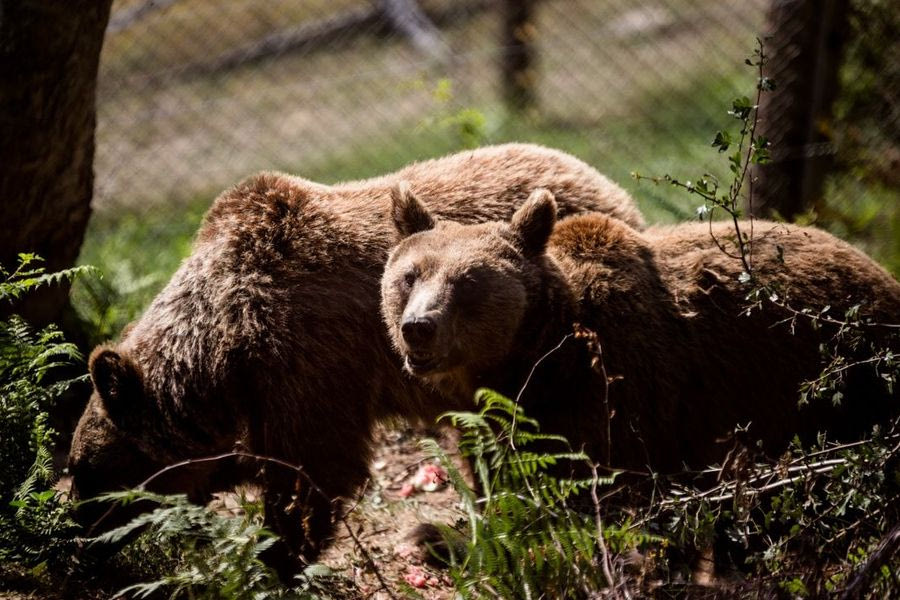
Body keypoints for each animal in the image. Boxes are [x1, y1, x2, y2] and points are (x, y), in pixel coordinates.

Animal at [67, 143, 644, 580]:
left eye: (85, 468)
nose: (78, 541)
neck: (228, 341)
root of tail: (601, 180)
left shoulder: (307, 359)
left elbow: (314, 471)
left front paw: (273, 558)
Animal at [382, 188, 900, 474]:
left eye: (468, 282)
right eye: (410, 275)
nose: (418, 328)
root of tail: (879, 271)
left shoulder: (623, 392)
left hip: (842, 384)